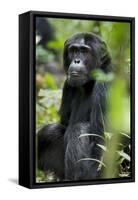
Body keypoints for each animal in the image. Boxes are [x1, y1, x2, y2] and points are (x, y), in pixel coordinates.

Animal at [37, 32, 112, 180]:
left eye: (84, 51)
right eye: (73, 50)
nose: (77, 60)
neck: (89, 83)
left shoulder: (105, 85)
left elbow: (101, 144)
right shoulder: (67, 85)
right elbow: (63, 125)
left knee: (80, 130)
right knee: (50, 131)